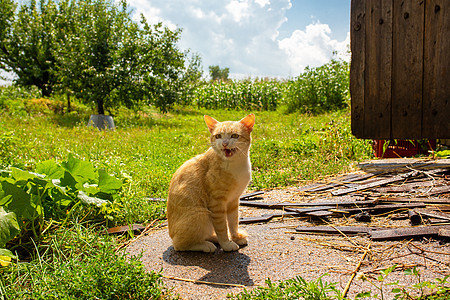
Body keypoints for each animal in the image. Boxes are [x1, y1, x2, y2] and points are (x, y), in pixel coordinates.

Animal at [167, 113, 255, 252]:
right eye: (218, 136)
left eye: (234, 136)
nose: (224, 144)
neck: (236, 165)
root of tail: (171, 234)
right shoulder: (217, 204)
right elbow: (222, 227)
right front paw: (226, 244)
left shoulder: (233, 201)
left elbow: (233, 222)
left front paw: (235, 237)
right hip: (201, 214)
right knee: (179, 245)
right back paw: (206, 245)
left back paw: (214, 238)